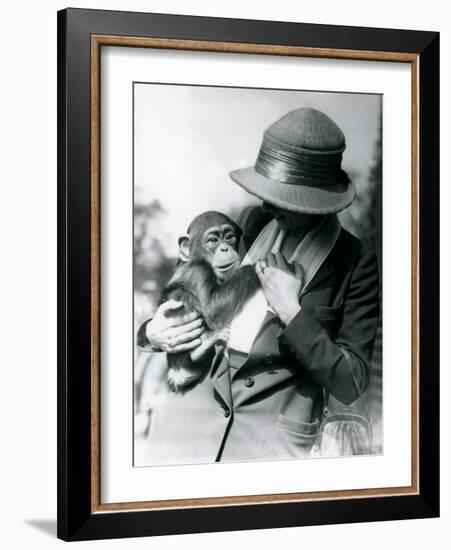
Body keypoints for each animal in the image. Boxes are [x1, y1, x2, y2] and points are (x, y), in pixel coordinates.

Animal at [162, 211, 262, 392]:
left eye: (229, 237)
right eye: (213, 240)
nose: (225, 248)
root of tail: (178, 374)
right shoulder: (199, 272)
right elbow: (212, 310)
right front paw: (256, 267)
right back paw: (203, 348)